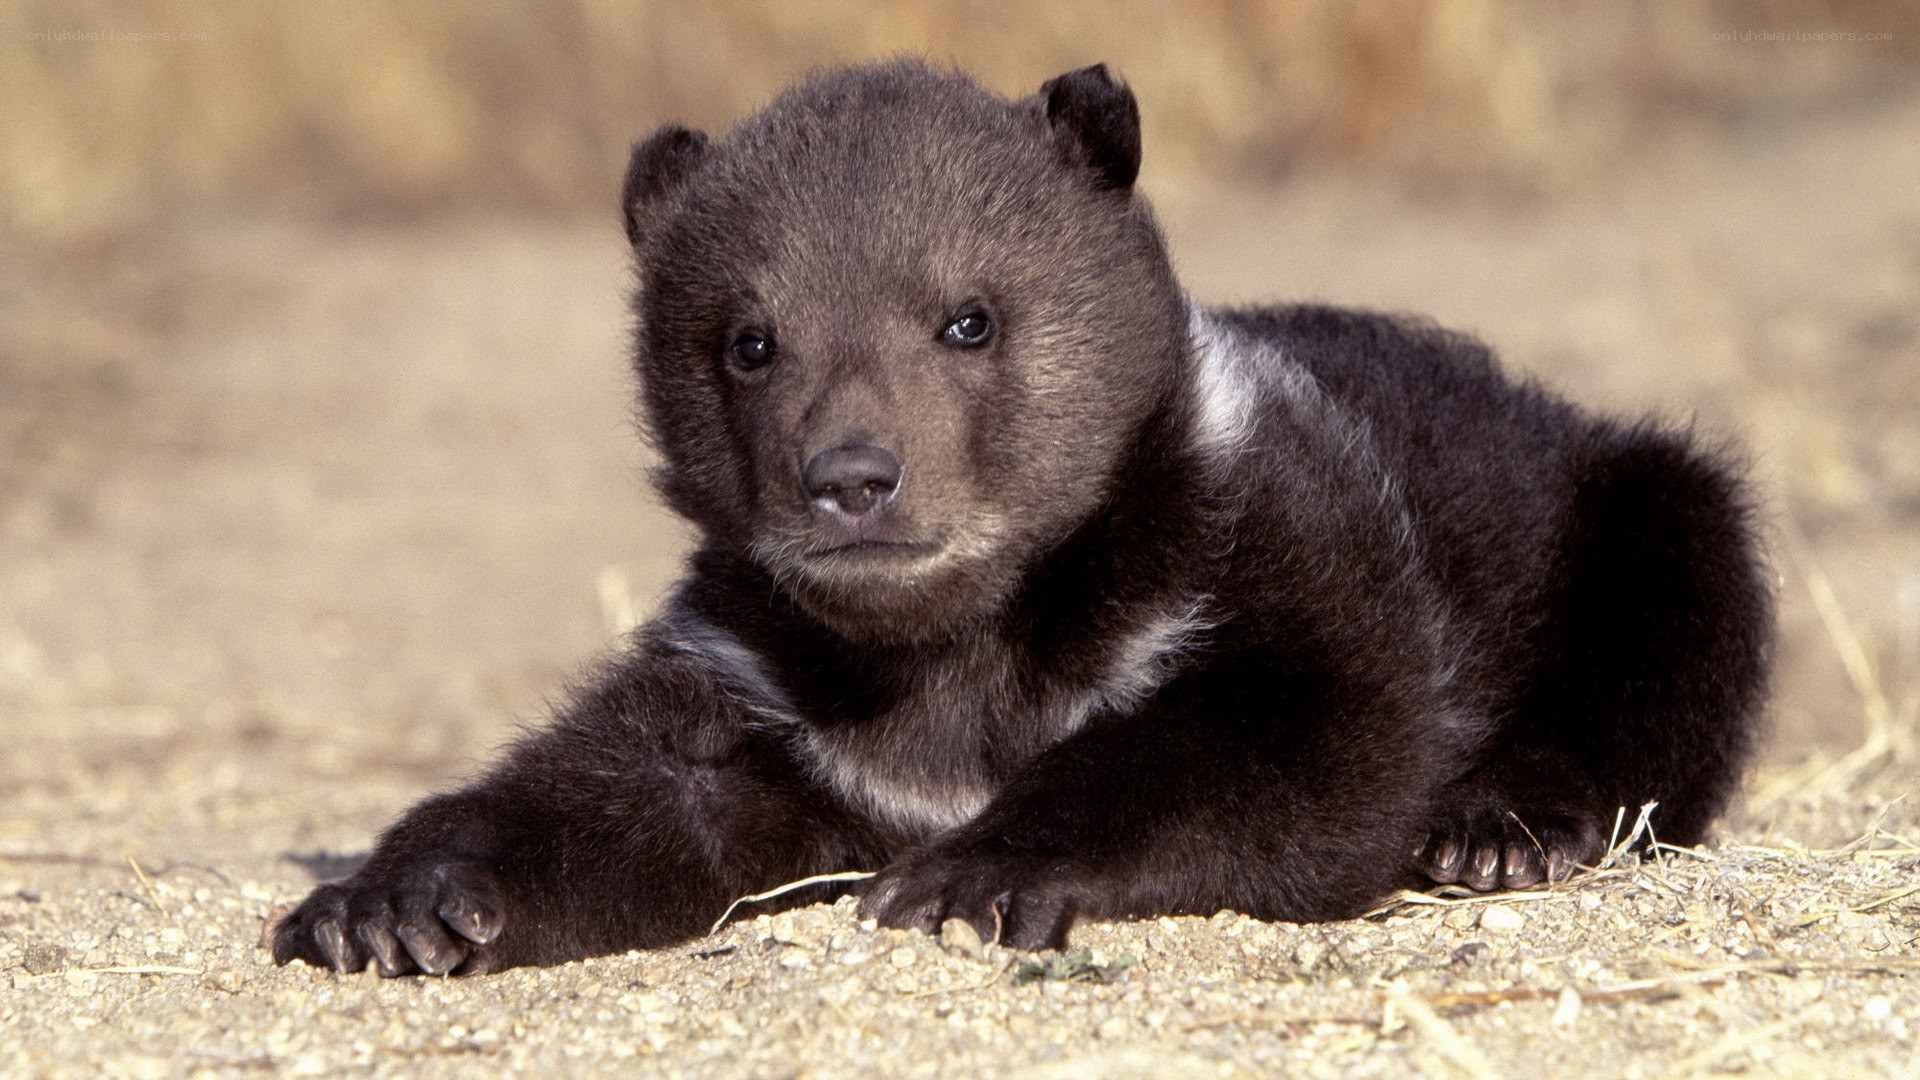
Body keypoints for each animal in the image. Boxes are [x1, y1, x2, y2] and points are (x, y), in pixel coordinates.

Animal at [270, 60, 1774, 976]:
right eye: (748, 339)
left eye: (969, 317)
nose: (853, 477)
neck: (961, 645)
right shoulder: (765, 681)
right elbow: (624, 789)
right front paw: (393, 900)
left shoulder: (1284, 554)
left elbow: (1296, 741)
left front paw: (968, 873)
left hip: (1624, 502)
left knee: (1678, 620)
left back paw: (1501, 823)